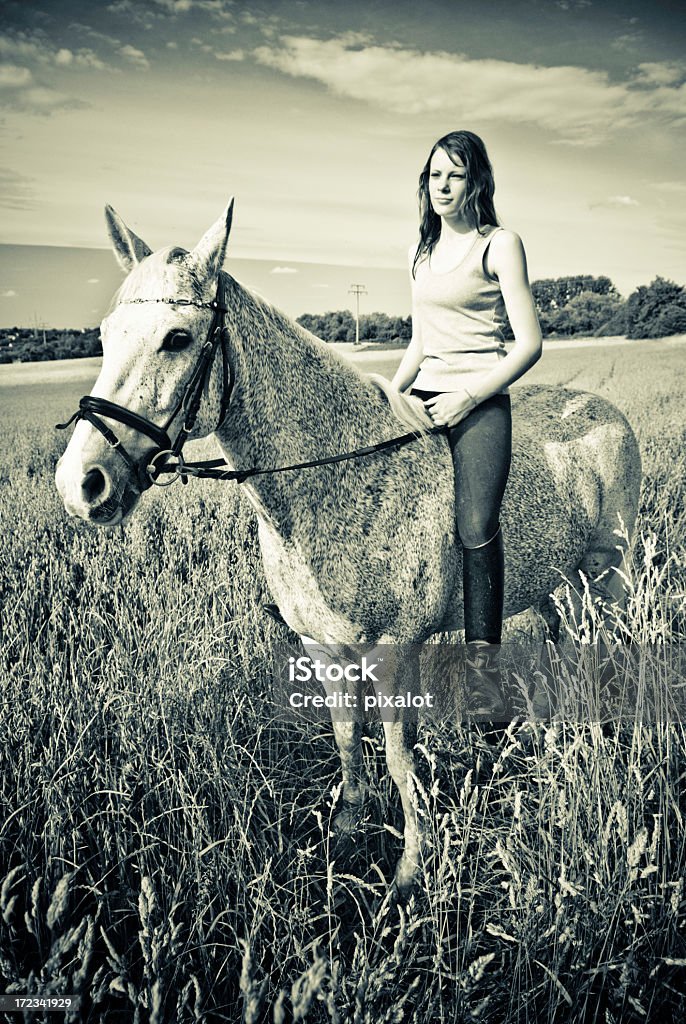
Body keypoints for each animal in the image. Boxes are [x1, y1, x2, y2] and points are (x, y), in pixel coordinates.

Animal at [55, 199, 647, 888]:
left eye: (177, 337)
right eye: (104, 337)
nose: (82, 483)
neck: (336, 479)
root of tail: (605, 408)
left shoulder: (395, 651)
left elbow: (396, 755)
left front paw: (410, 870)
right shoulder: (324, 647)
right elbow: (345, 741)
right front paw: (344, 833)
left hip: (609, 574)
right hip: (555, 582)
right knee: (561, 640)